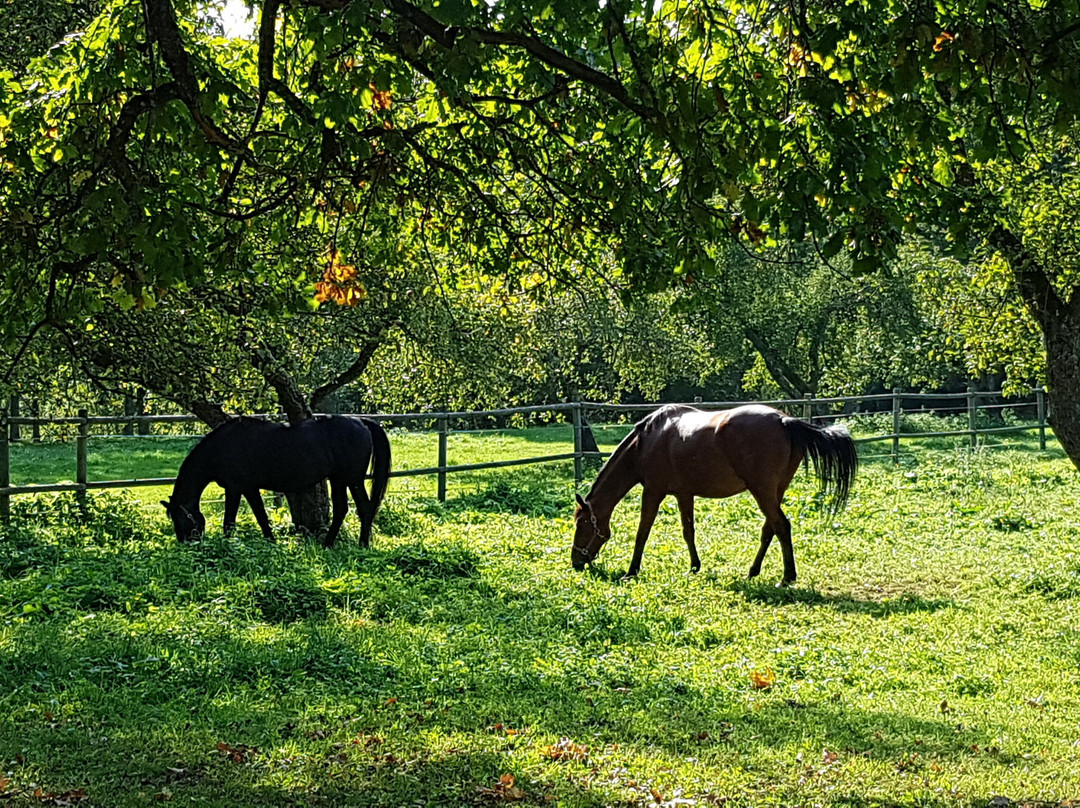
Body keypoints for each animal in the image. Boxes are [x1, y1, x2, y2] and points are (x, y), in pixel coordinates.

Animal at [162, 416, 390, 548]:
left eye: (179, 519)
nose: (186, 544)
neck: (222, 447)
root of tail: (361, 422)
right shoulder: (248, 488)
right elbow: (260, 517)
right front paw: (271, 542)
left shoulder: (236, 488)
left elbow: (232, 521)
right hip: (338, 479)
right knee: (343, 508)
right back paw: (328, 544)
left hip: (352, 479)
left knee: (364, 508)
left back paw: (362, 544)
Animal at [570, 401, 855, 578]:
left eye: (581, 523)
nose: (576, 562)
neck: (646, 442)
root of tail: (783, 420)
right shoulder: (684, 494)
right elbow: (688, 532)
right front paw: (694, 566)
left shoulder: (653, 491)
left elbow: (642, 532)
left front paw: (631, 571)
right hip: (776, 491)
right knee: (770, 528)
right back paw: (753, 571)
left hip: (762, 491)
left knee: (781, 526)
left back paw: (787, 577)